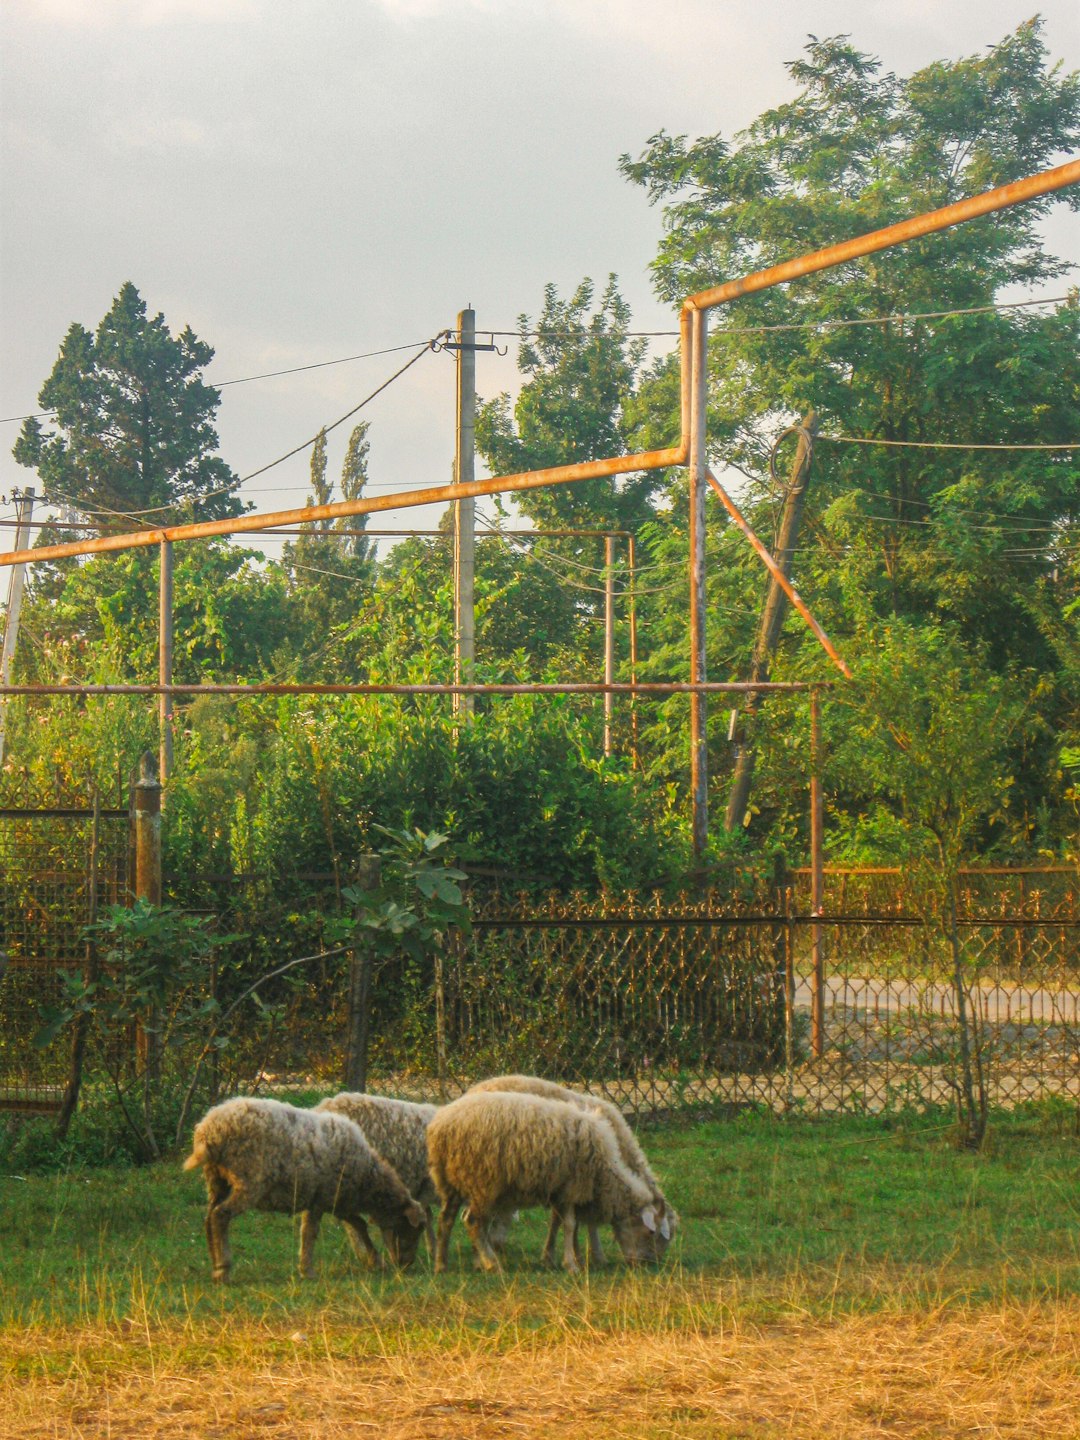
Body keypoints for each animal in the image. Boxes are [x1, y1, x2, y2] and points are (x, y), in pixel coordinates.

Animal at [184, 1088, 426, 1284]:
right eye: (411, 1228)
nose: (405, 1265)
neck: (367, 1177)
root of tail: (208, 1131)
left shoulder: (336, 1200)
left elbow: (358, 1225)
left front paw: (375, 1261)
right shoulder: (322, 1199)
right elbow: (311, 1233)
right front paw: (307, 1271)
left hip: (217, 1181)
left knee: (209, 1219)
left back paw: (214, 1264)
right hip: (248, 1181)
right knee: (220, 1216)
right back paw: (223, 1270)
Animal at [426, 1088, 673, 1272]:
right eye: (651, 1233)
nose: (646, 1264)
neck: (605, 1171)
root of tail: (441, 1126)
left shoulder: (559, 1189)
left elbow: (562, 1223)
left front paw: (560, 1258)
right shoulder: (572, 1187)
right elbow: (570, 1224)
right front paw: (572, 1264)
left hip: (450, 1182)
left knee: (446, 1220)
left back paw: (441, 1264)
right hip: (482, 1182)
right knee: (472, 1222)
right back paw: (490, 1264)